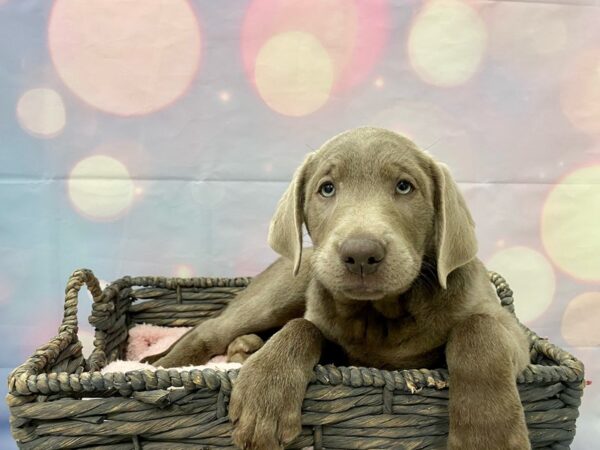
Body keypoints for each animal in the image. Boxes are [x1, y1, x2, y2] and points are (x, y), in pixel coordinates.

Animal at [145, 127, 528, 450]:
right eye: (327, 188)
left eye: (405, 186)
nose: (361, 254)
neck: (383, 315)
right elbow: (302, 326)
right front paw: (264, 397)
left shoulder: (514, 335)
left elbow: (478, 329)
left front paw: (488, 436)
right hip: (285, 286)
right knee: (209, 330)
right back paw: (161, 367)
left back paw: (243, 350)